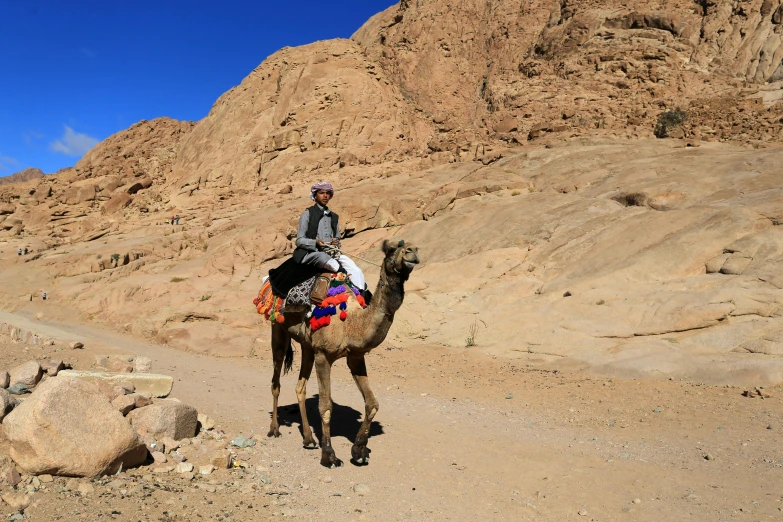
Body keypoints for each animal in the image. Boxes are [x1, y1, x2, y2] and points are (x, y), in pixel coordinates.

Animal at [266, 238, 420, 466]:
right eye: (393, 248)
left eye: (414, 247)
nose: (413, 251)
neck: (351, 323)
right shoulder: (323, 355)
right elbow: (325, 406)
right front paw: (329, 454)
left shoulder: (355, 356)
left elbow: (372, 404)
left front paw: (359, 450)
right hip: (278, 327)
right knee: (276, 381)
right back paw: (275, 429)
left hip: (307, 345)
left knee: (300, 387)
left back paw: (308, 439)